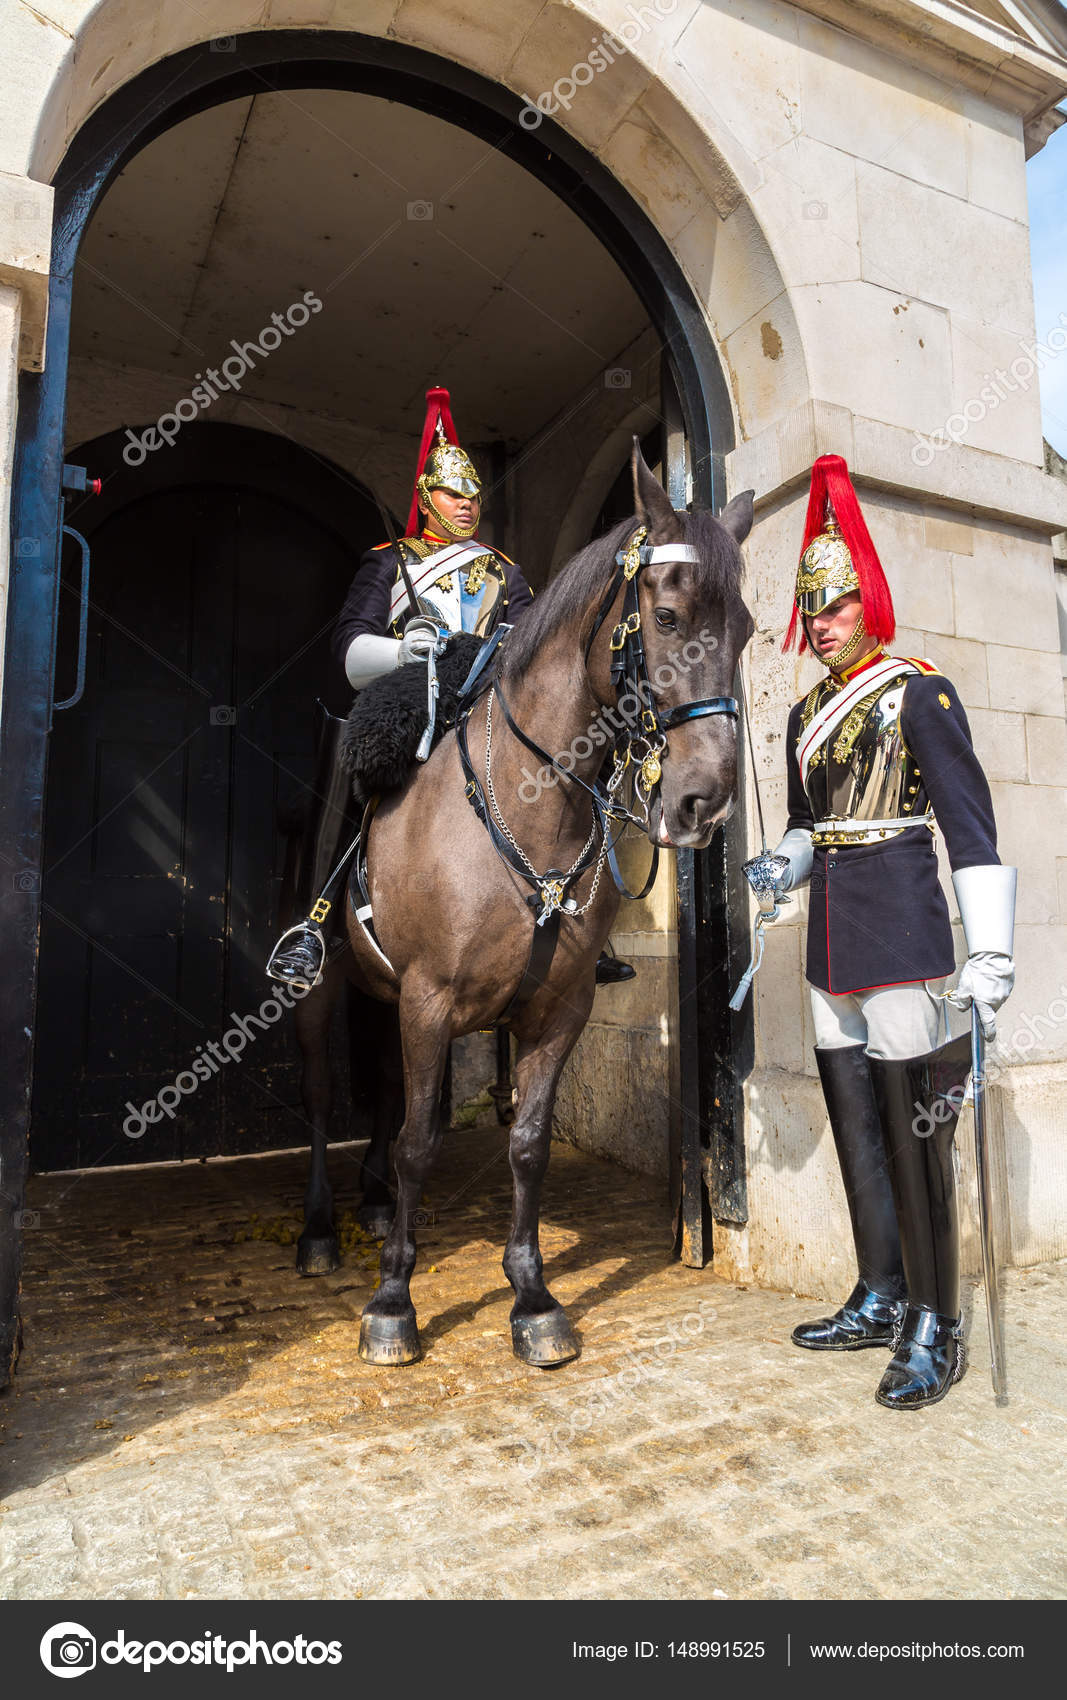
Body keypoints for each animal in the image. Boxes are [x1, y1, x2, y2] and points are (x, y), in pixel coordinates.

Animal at [345, 444, 753, 1367]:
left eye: (747, 628)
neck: (531, 806)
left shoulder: (558, 1006)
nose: (704, 802)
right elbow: (419, 1142)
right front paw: (392, 1301)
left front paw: (531, 1298)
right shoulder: (426, 1001)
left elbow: (526, 1145)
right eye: (667, 616)